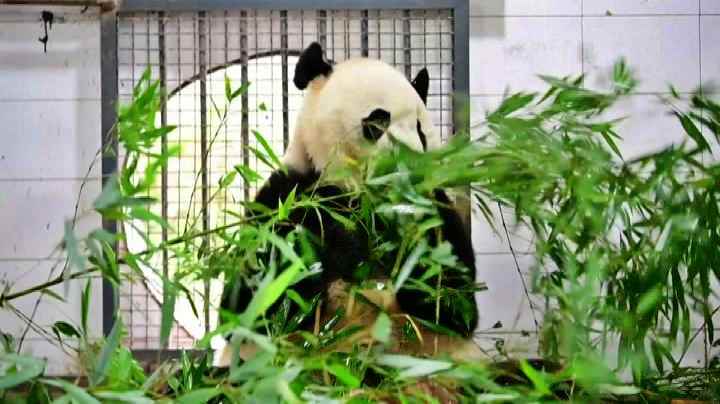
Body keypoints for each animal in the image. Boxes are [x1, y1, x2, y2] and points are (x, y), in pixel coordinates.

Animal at [217, 42, 480, 365]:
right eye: (378, 121)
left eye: (420, 129)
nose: (410, 166)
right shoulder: (285, 196)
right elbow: (251, 304)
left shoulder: (437, 210)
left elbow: (454, 303)